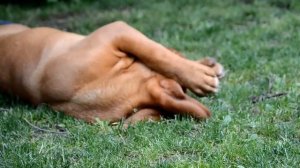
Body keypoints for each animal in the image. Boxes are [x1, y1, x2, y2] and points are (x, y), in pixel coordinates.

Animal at [0, 21, 224, 124]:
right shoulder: (115, 29)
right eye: (183, 88)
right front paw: (199, 76)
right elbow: (156, 52)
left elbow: (155, 49)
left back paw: (208, 64)